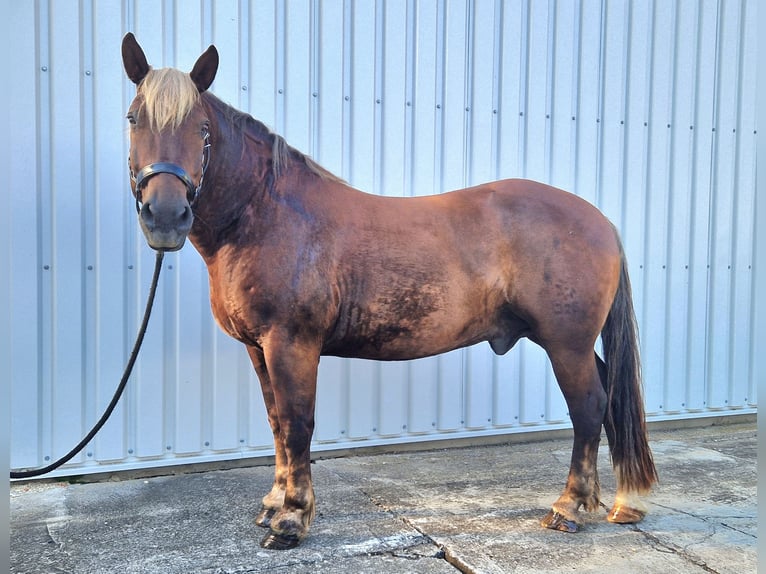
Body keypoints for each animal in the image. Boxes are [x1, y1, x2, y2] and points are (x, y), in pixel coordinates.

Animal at [121, 32, 660, 552]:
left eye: (202, 129)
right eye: (132, 119)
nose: (164, 216)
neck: (267, 215)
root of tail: (600, 220)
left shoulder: (291, 343)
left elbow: (297, 424)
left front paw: (291, 520)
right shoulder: (259, 348)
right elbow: (276, 422)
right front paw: (274, 504)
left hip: (566, 344)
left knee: (589, 407)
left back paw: (568, 508)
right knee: (608, 400)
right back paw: (615, 502)